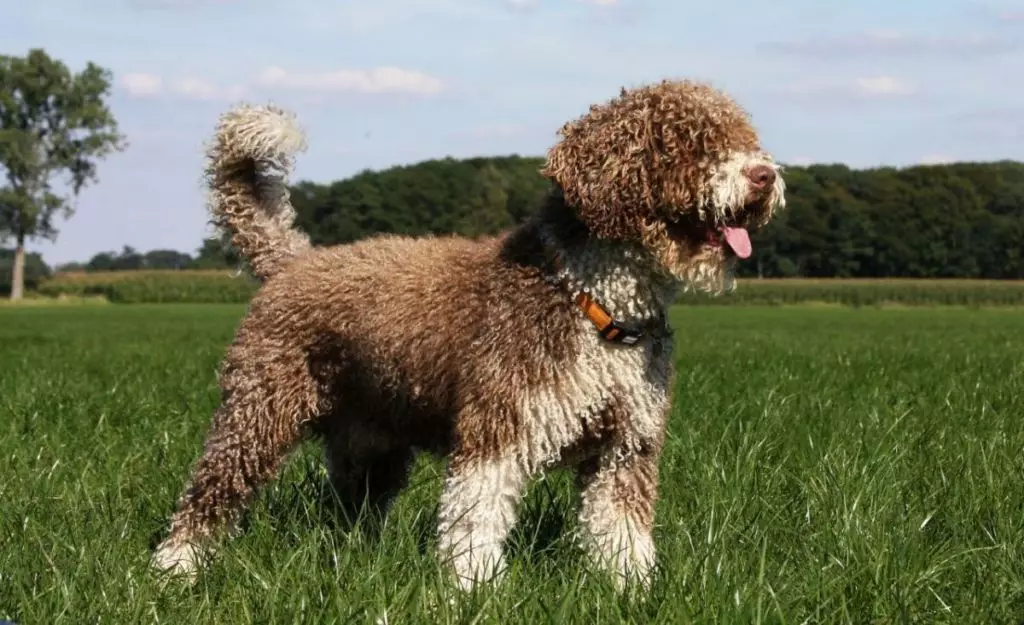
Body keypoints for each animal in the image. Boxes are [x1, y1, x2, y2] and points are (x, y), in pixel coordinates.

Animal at [151, 77, 786, 590]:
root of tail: (292, 260)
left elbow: (619, 529)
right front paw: (477, 587)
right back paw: (175, 569)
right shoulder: (498, 428)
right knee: (208, 495)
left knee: (352, 508)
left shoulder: (626, 446)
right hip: (256, 413)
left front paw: (631, 590)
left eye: (743, 135)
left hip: (371, 442)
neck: (592, 302)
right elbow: (475, 517)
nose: (764, 175)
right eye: (690, 142)